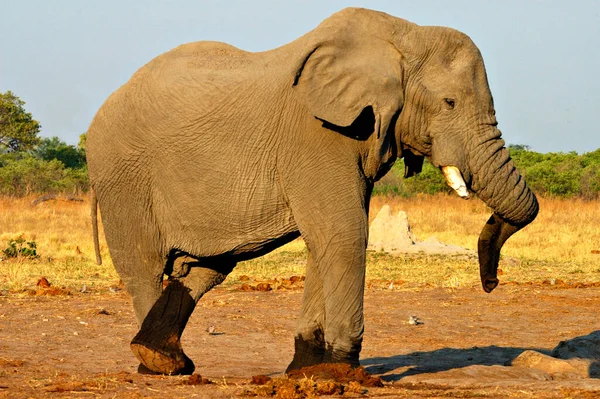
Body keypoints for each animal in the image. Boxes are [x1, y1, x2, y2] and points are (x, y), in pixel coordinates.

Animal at [85, 7, 540, 376]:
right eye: (449, 103)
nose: (491, 284)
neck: (402, 35)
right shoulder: (316, 134)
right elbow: (344, 233)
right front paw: (341, 372)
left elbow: (324, 240)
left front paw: (304, 370)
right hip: (124, 176)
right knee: (144, 266)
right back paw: (156, 366)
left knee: (206, 268)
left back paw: (164, 357)